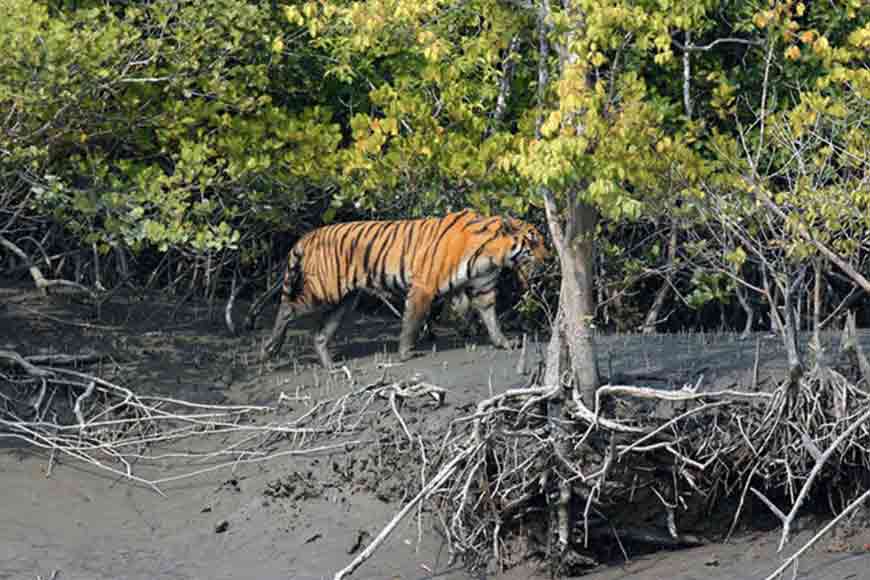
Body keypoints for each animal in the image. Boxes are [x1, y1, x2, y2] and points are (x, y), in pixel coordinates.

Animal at [262, 211, 552, 368]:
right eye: (534, 242)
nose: (548, 258)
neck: (493, 255)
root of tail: (308, 235)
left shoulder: (483, 288)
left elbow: (490, 317)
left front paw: (503, 342)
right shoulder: (423, 286)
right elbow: (412, 321)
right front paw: (405, 353)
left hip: (345, 300)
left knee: (321, 334)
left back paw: (330, 365)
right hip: (325, 290)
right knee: (288, 307)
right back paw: (270, 348)